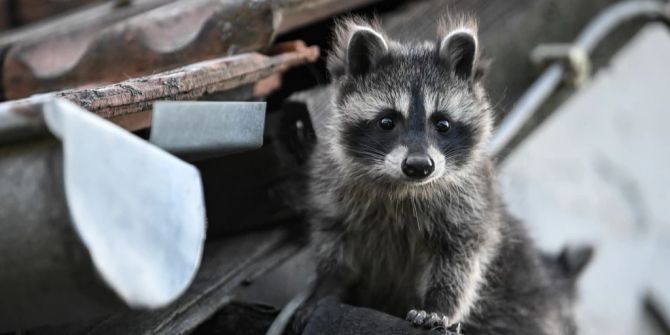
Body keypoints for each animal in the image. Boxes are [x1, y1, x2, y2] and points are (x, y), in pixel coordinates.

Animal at [304, 15, 588, 335]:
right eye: (387, 122)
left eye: (442, 124)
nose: (418, 166)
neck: (404, 188)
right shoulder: (332, 190)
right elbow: (334, 248)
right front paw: (326, 288)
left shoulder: (473, 203)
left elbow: (459, 261)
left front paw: (439, 306)